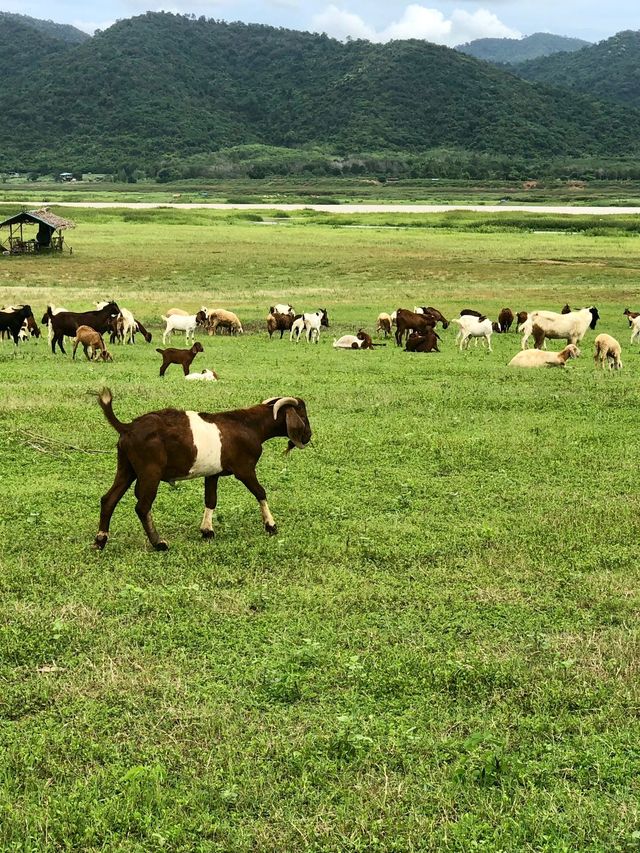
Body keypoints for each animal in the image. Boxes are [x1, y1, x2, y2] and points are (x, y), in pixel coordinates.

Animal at [94, 390, 312, 548]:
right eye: (303, 415)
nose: (309, 435)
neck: (251, 425)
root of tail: (127, 427)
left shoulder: (212, 473)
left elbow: (211, 499)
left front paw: (207, 531)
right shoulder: (245, 469)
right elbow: (260, 492)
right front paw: (271, 526)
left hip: (126, 468)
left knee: (108, 499)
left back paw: (100, 540)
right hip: (150, 471)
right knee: (142, 506)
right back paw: (158, 543)